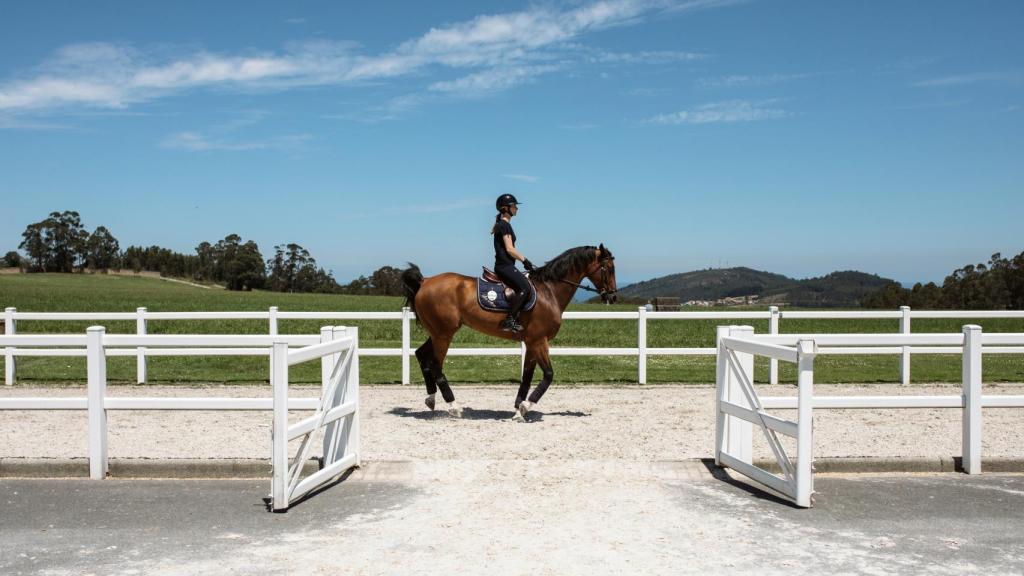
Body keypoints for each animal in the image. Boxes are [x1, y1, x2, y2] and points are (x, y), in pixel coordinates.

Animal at [399, 239, 614, 420]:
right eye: (608, 268)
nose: (612, 296)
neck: (549, 291)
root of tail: (425, 281)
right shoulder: (539, 341)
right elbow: (548, 375)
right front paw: (526, 406)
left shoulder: (531, 342)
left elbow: (527, 376)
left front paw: (519, 409)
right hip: (444, 334)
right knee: (435, 364)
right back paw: (453, 406)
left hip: (437, 333)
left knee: (421, 355)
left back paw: (431, 399)